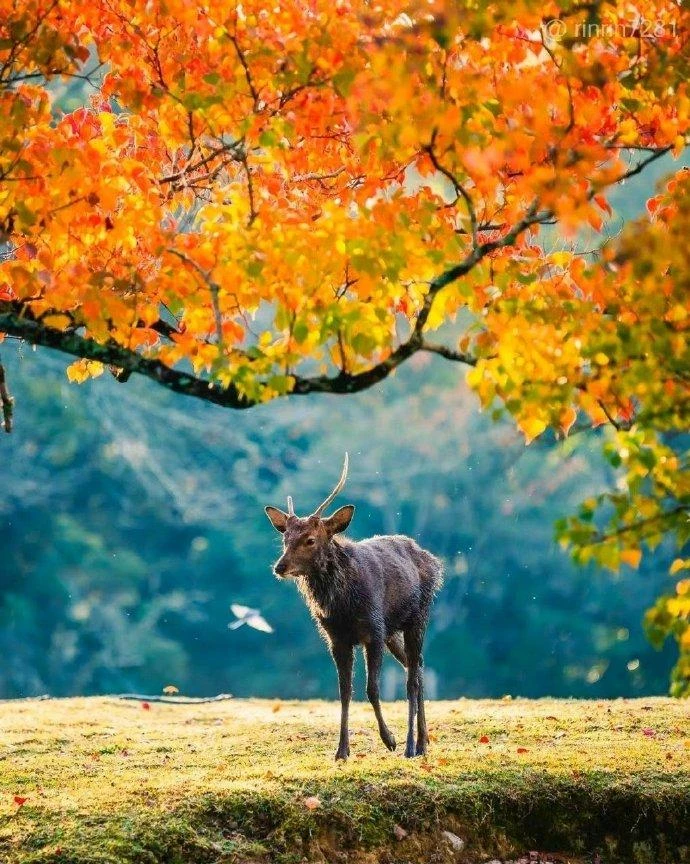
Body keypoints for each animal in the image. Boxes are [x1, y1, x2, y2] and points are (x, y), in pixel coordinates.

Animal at [264, 456, 440, 760]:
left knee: (412, 678)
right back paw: (423, 742)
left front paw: (389, 739)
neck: (343, 607)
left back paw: (410, 745)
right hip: (394, 631)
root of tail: (435, 562)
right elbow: (344, 691)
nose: (280, 567)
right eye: (284, 539)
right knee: (416, 666)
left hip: (418, 617)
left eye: (310, 539)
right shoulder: (337, 638)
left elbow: (372, 688)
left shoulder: (373, 631)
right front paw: (341, 751)